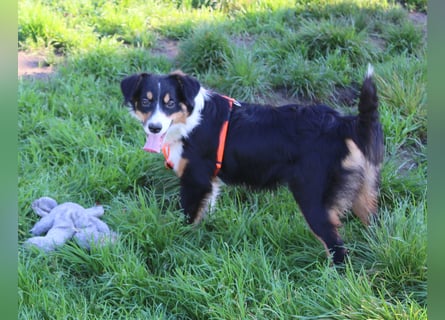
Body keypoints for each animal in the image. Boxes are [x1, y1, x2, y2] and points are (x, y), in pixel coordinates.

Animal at [120, 66, 382, 264]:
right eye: (146, 101)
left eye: (171, 102)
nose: (154, 128)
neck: (191, 121)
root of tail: (344, 123)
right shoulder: (209, 183)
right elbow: (206, 211)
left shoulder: (195, 180)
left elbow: (187, 217)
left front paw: (178, 241)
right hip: (364, 194)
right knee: (374, 227)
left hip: (312, 198)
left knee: (337, 248)